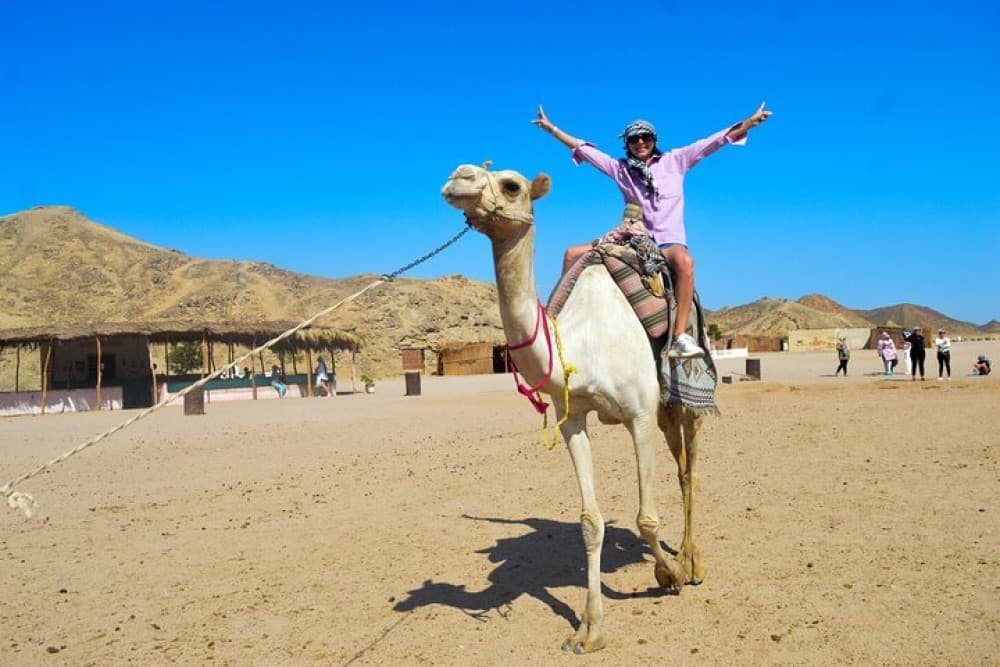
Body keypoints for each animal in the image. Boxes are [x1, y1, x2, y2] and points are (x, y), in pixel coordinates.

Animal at [441, 163, 705, 653]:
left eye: (512, 185)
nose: (458, 178)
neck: (583, 342)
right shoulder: (575, 419)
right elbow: (590, 522)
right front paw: (590, 630)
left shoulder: (639, 416)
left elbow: (646, 518)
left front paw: (670, 573)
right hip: (664, 410)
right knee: (681, 464)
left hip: (686, 398)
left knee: (690, 468)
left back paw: (694, 560)